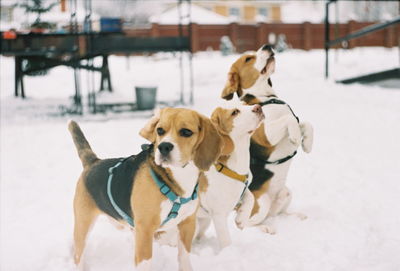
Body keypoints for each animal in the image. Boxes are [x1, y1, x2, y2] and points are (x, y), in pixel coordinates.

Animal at [69, 108, 225, 271]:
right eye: (160, 130)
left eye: (186, 132)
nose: (163, 147)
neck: (178, 177)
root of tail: (93, 162)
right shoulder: (144, 230)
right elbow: (145, 262)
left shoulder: (187, 224)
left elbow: (184, 257)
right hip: (83, 226)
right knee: (78, 256)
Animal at [195, 104, 264, 251]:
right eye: (235, 112)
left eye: (245, 104)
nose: (258, 107)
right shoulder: (218, 214)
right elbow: (226, 241)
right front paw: (228, 252)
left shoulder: (242, 188)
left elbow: (251, 197)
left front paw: (241, 219)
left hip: (204, 222)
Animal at [220, 44, 314, 234]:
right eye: (248, 59)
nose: (267, 46)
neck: (267, 98)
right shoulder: (266, 135)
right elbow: (289, 119)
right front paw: (295, 136)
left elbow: (305, 123)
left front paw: (307, 143)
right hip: (262, 202)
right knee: (245, 223)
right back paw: (264, 228)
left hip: (286, 193)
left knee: (278, 214)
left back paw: (295, 216)